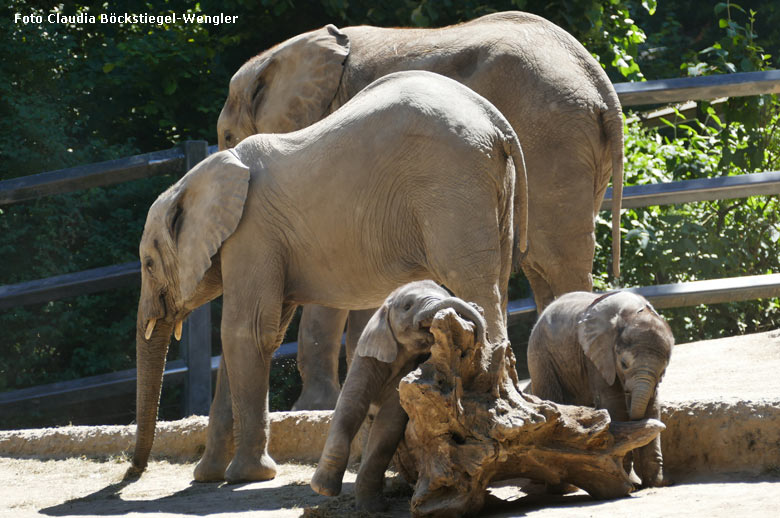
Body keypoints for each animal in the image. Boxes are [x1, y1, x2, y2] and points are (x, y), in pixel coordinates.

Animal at [128, 71, 532, 486]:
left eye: (148, 264)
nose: (133, 470)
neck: (196, 180)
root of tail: (495, 122)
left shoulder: (252, 233)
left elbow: (246, 331)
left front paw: (247, 476)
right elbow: (250, 338)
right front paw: (207, 475)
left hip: (452, 185)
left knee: (474, 284)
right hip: (490, 189)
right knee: (497, 282)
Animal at [216, 10, 624, 412]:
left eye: (226, 136)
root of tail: (600, 83)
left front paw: (313, 407)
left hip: (552, 137)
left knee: (555, 258)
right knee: (535, 262)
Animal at [310, 280, 482, 512]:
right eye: (407, 306)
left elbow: (388, 423)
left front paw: (373, 508)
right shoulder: (366, 356)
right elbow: (350, 406)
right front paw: (322, 489)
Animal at [528, 292, 672, 488]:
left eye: (664, 370)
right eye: (623, 364)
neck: (630, 312)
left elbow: (653, 404)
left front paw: (657, 482)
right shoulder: (598, 355)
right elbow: (614, 402)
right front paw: (631, 482)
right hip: (540, 356)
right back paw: (564, 488)